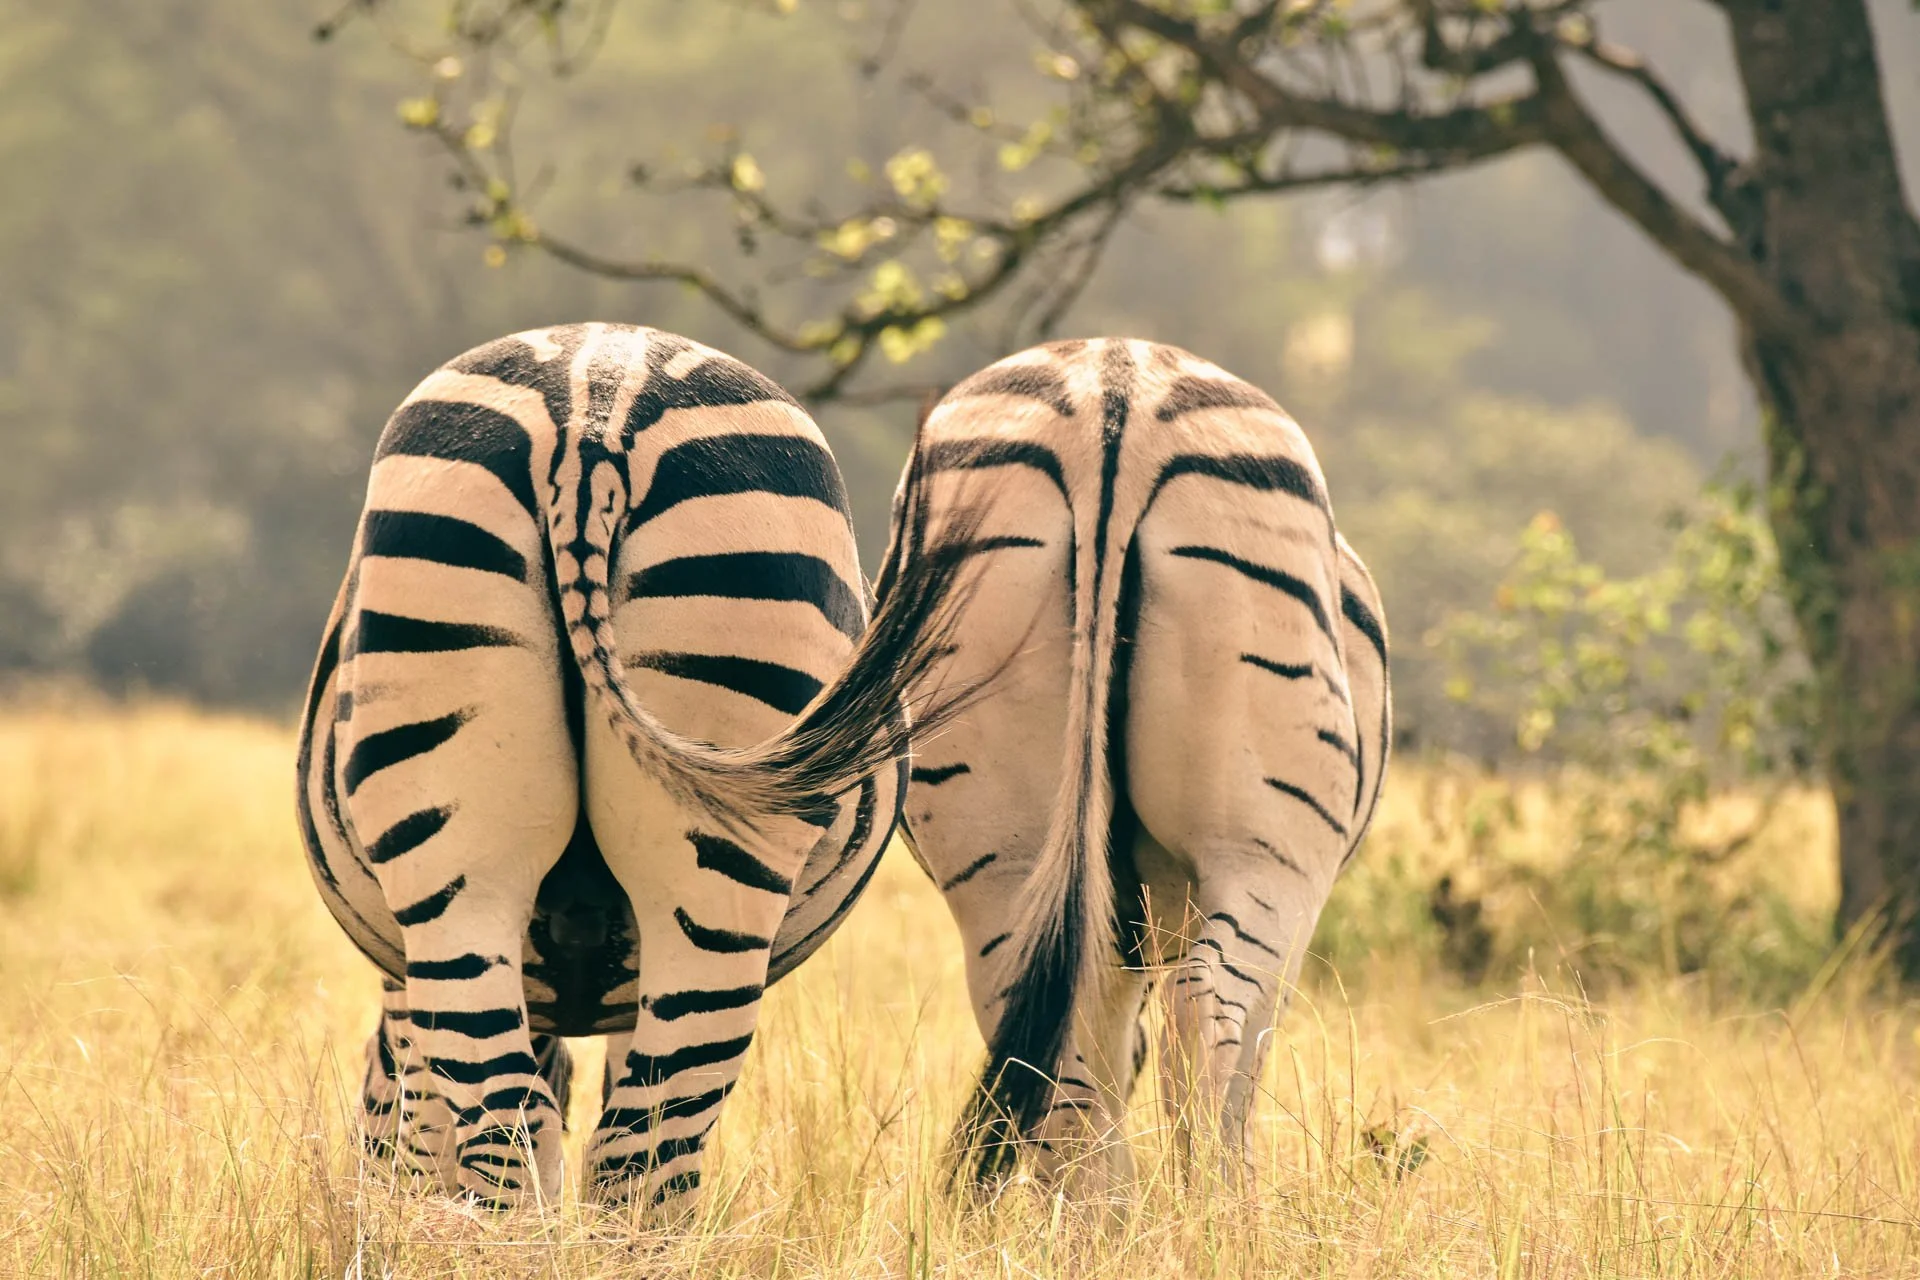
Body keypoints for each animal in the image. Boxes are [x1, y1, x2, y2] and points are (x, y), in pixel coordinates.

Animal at [295, 322, 980, 1208]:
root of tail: (595, 402)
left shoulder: (407, 982)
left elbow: (430, 1127)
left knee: (538, 1138)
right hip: (694, 860)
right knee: (625, 1146)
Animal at [882, 338, 1391, 1190]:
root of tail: (1110, 392)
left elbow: (1111, 1056)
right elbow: (1241, 1071)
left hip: (999, 850)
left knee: (1056, 1044)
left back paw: (1109, 1219)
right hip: (1267, 854)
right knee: (1207, 1013)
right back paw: (1212, 1211)